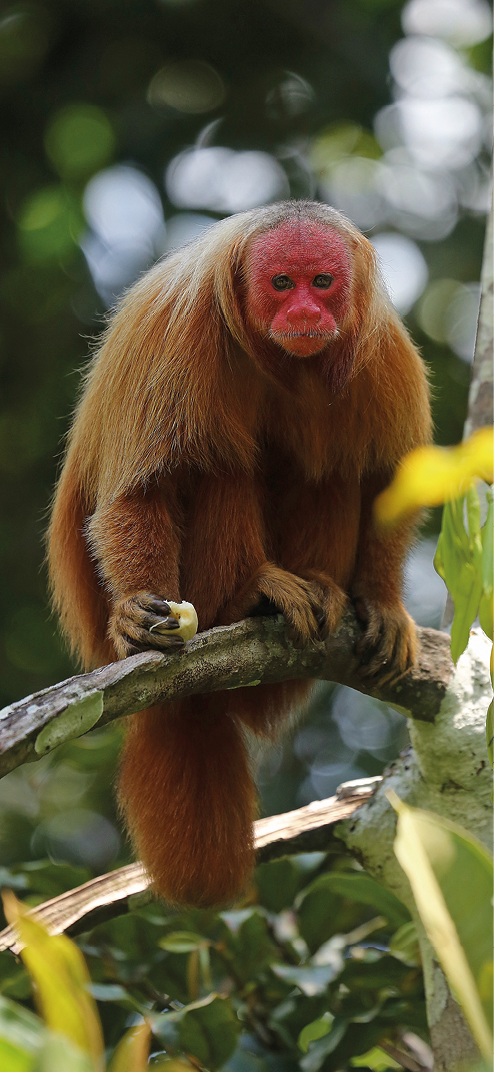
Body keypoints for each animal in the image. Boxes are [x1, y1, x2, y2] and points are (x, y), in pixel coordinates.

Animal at [48, 199, 428, 904]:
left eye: (322, 283)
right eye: (281, 284)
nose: (304, 312)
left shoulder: (382, 351)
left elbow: (388, 483)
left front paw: (385, 603)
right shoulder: (174, 334)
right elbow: (141, 494)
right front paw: (137, 612)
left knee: (329, 470)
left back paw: (317, 588)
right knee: (217, 463)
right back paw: (254, 592)